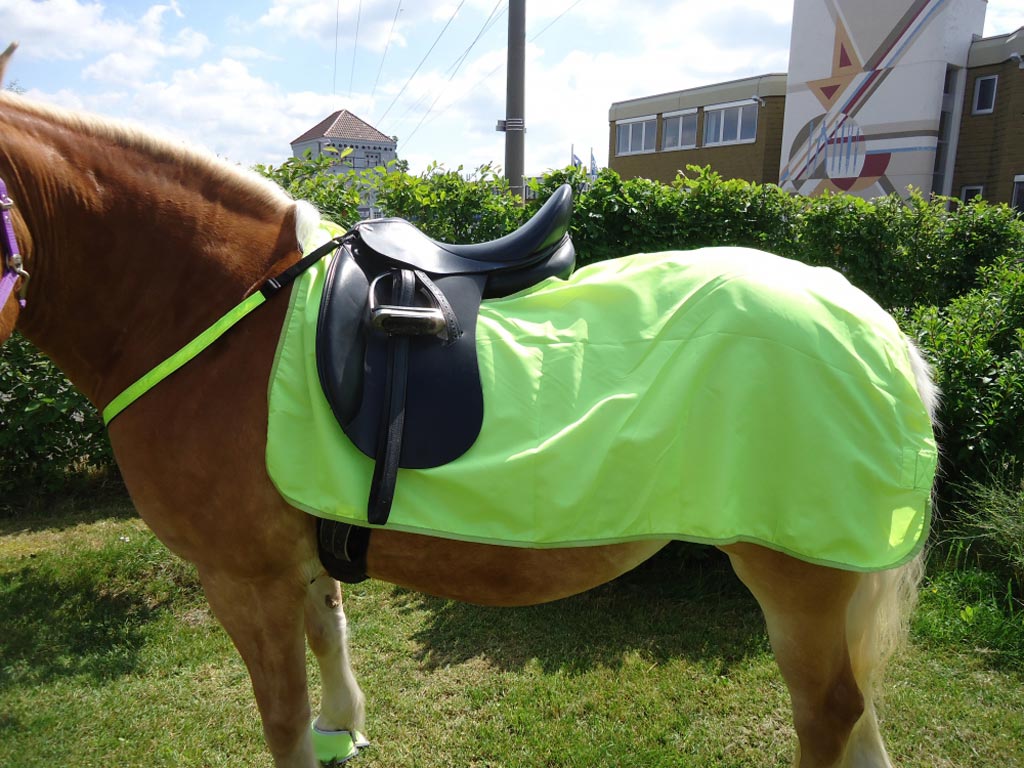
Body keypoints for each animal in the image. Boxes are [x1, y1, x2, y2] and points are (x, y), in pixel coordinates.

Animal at [1, 47, 938, 768]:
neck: (217, 311)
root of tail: (877, 326)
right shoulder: (297, 560)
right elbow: (330, 654)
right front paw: (347, 725)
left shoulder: (244, 579)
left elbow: (283, 721)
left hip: (797, 575)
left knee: (828, 713)